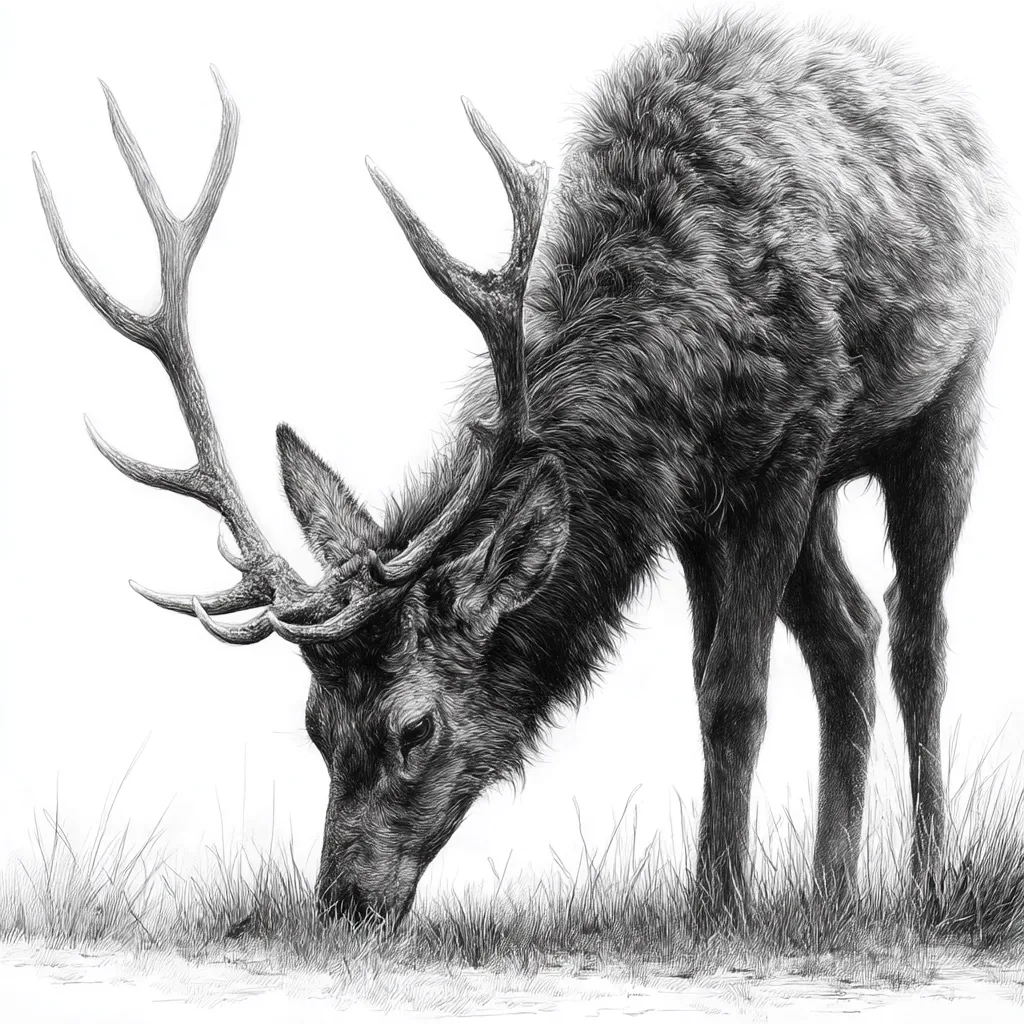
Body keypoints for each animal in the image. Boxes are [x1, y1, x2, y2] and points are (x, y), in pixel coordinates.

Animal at [35, 11, 1013, 927]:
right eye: (314, 725)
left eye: (416, 726)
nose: (343, 904)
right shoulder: (695, 504)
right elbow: (708, 684)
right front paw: (729, 896)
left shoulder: (788, 454)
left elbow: (735, 692)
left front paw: (715, 909)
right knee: (850, 630)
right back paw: (829, 894)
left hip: (949, 400)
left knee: (918, 632)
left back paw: (927, 882)